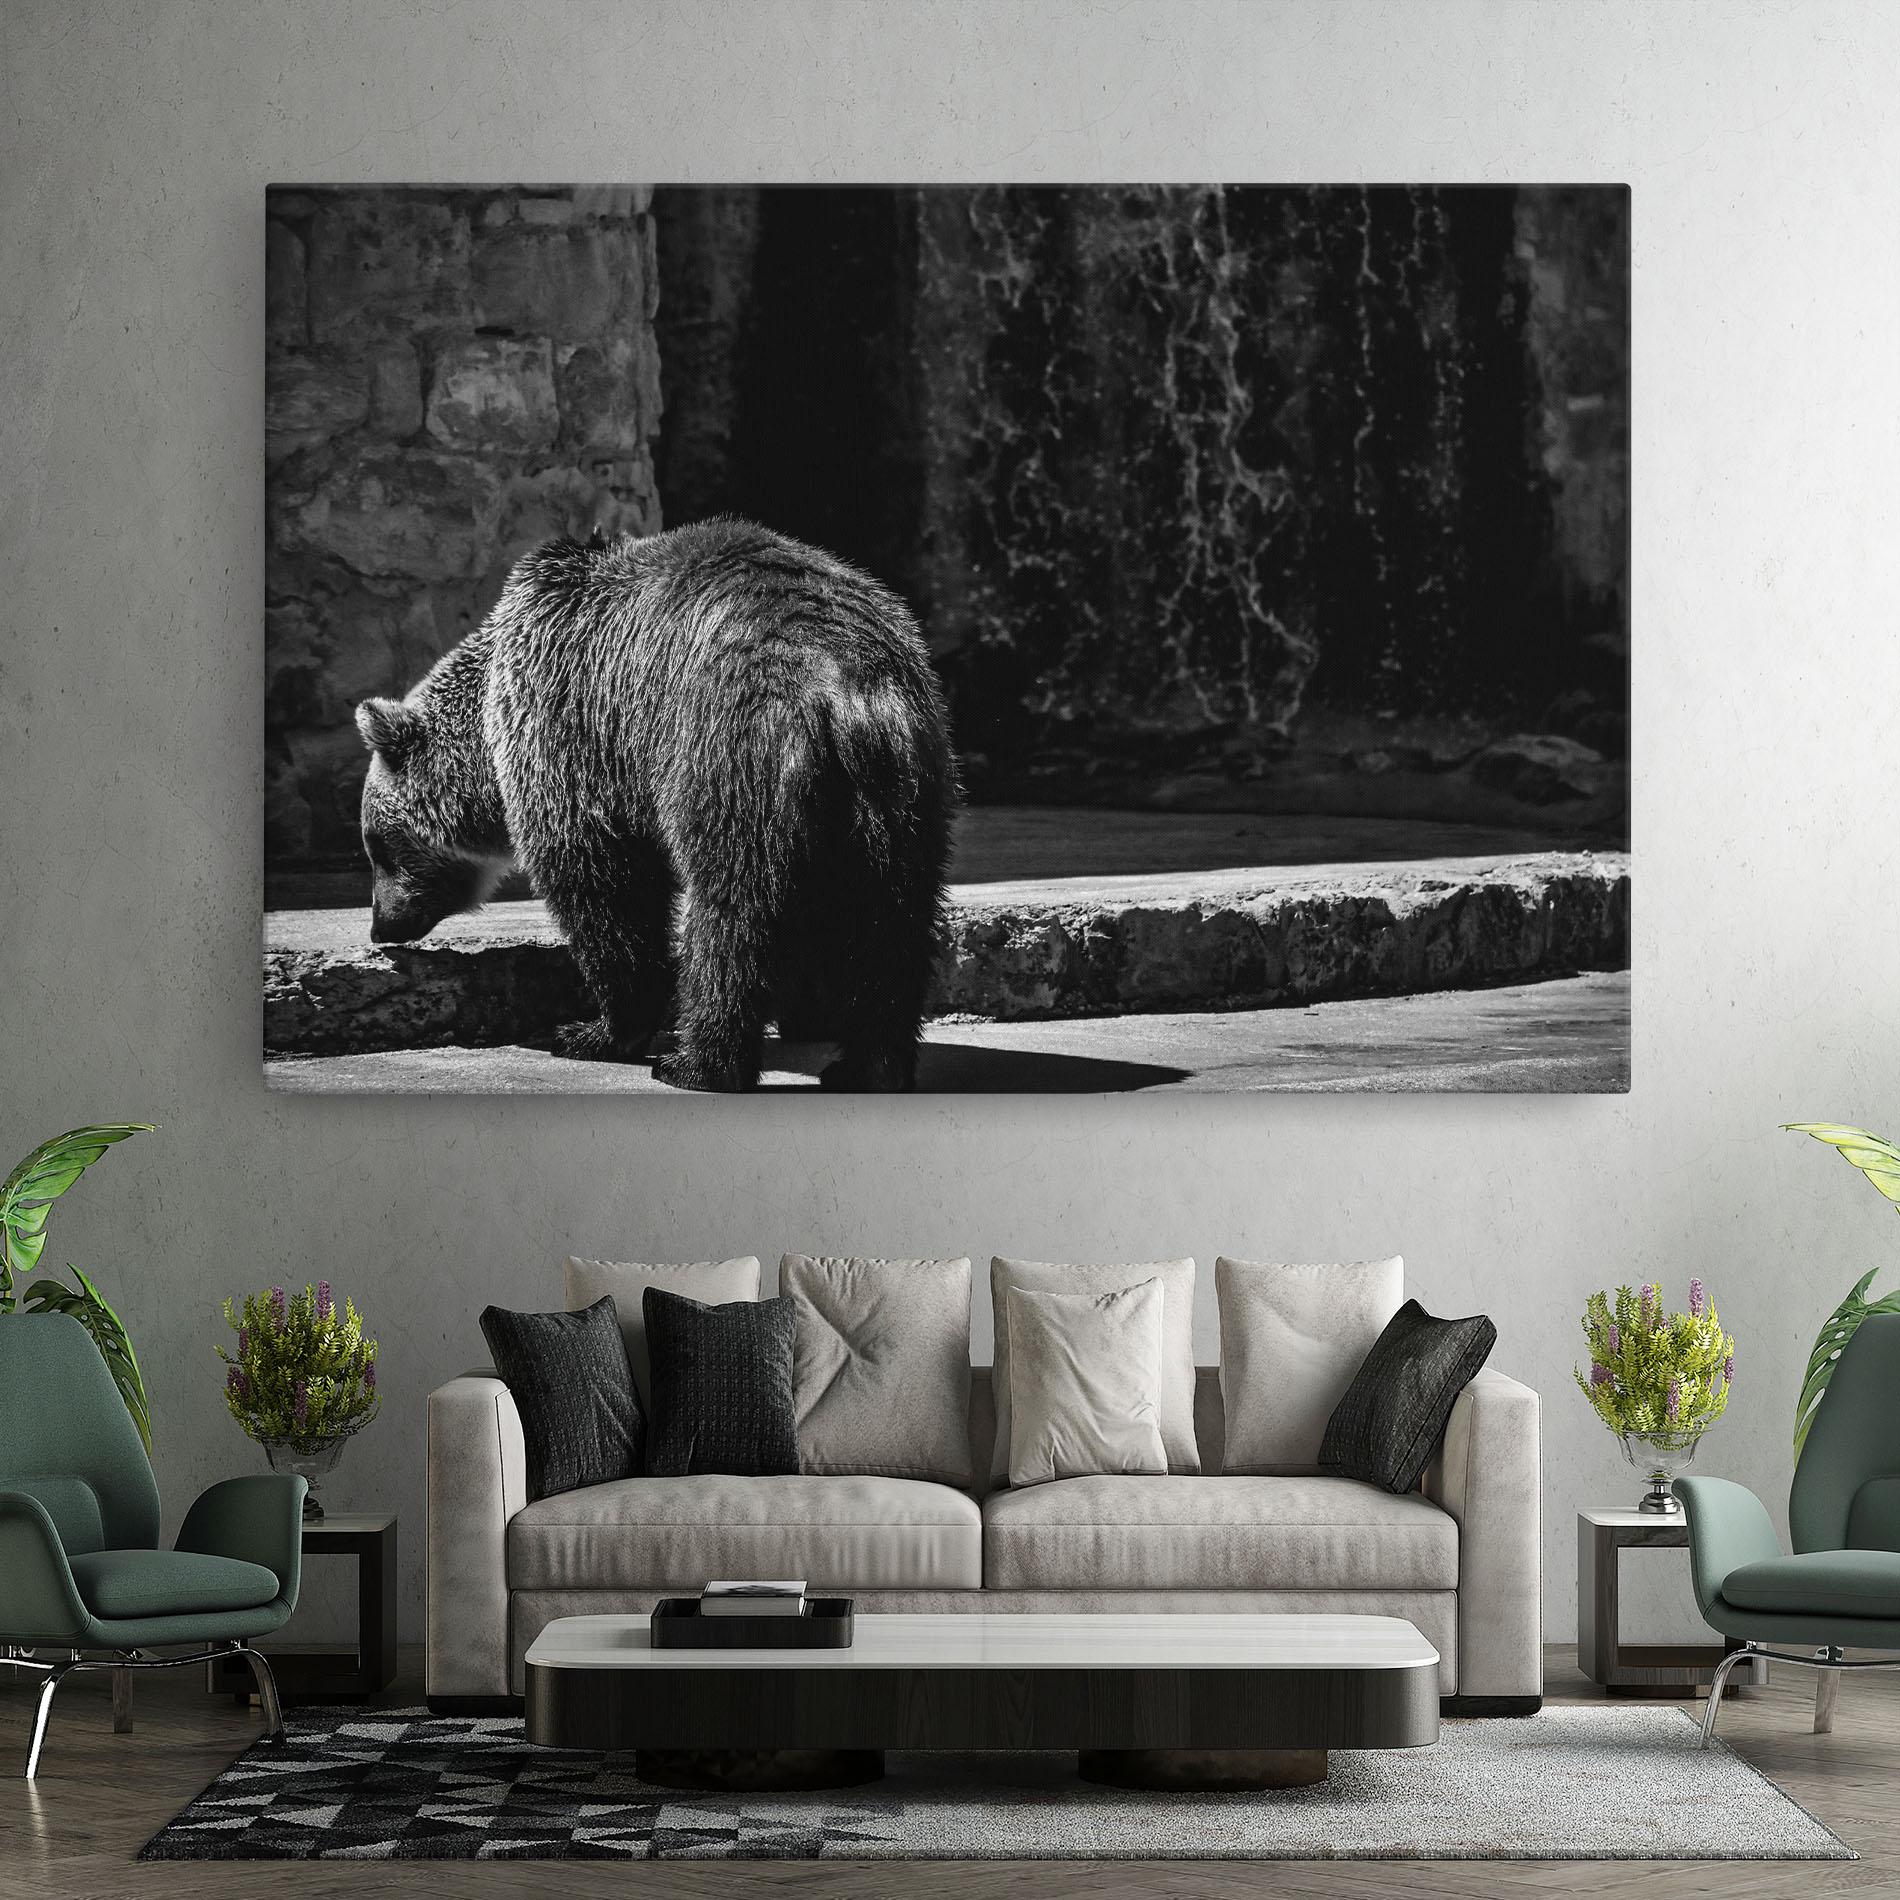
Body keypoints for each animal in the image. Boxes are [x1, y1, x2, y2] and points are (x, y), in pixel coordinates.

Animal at [353, 517, 957, 1092]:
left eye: (377, 846)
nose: (381, 926)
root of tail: (844, 687)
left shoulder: (574, 725)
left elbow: (604, 884)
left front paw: (590, 1031)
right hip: (903, 792)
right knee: (891, 921)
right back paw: (870, 1066)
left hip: (730, 754)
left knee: (733, 913)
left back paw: (697, 1063)